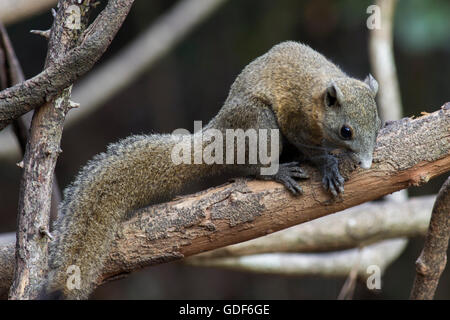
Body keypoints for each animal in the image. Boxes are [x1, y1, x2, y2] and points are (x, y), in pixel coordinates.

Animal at [44, 41, 382, 298]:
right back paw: (278, 172)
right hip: (259, 123)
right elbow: (309, 146)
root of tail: (219, 135)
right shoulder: (296, 118)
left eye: (377, 123)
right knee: (254, 165)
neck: (318, 94)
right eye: (346, 130)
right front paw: (328, 166)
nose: (366, 162)